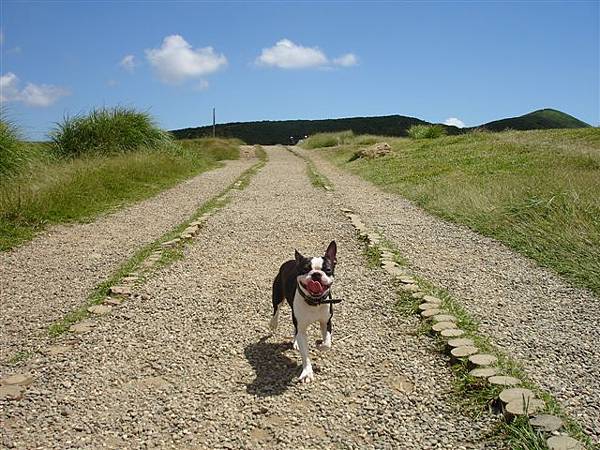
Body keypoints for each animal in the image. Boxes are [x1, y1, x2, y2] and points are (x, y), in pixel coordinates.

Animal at [270, 241, 338, 382]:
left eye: (328, 270)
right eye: (306, 269)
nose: (316, 274)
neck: (314, 302)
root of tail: (291, 261)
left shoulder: (326, 322)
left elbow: (327, 343)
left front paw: (319, 344)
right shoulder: (301, 328)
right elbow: (305, 353)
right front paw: (307, 372)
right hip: (278, 295)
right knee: (276, 310)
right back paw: (273, 324)